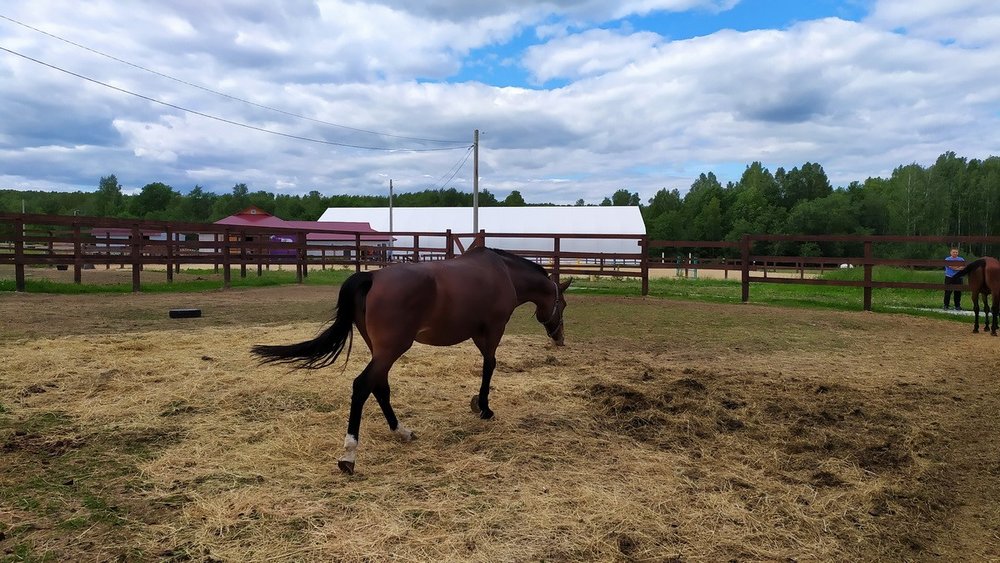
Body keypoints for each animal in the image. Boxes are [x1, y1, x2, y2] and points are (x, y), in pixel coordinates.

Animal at [252, 249, 572, 474]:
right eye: (564, 304)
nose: (559, 337)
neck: (503, 273)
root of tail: (372, 277)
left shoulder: (479, 335)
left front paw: (476, 404)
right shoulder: (493, 331)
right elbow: (489, 367)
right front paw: (484, 407)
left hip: (381, 350)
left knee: (379, 386)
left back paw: (401, 431)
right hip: (392, 348)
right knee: (362, 385)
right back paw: (349, 454)